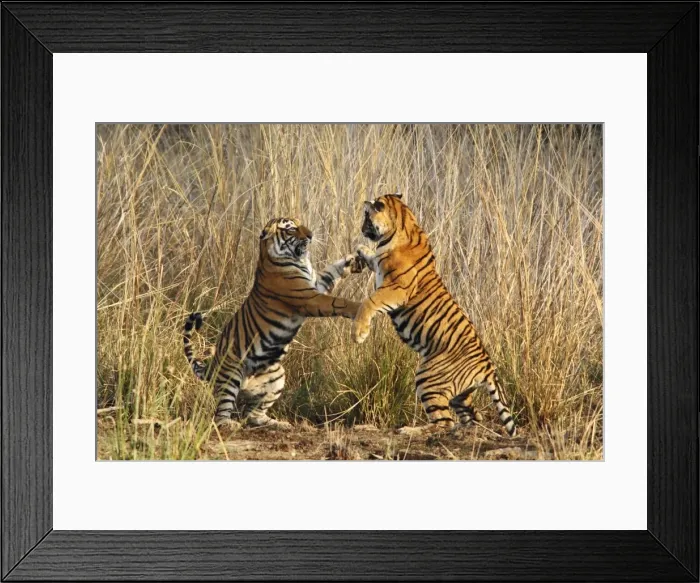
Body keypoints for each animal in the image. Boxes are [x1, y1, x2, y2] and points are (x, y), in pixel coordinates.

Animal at [184, 217, 364, 430]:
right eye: (292, 229)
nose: (311, 235)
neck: (297, 259)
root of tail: (210, 367)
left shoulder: (316, 284)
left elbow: (332, 271)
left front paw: (355, 260)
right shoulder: (309, 298)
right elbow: (338, 302)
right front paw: (361, 307)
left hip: (277, 376)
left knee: (252, 414)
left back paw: (278, 424)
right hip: (231, 376)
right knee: (220, 413)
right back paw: (230, 424)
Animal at [352, 194, 516, 437]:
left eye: (366, 217)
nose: (362, 229)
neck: (403, 223)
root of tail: (487, 365)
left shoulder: (396, 289)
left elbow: (368, 302)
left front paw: (359, 334)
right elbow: (372, 258)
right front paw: (361, 249)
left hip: (428, 377)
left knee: (443, 422)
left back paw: (409, 430)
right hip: (460, 393)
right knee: (471, 417)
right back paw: (460, 431)